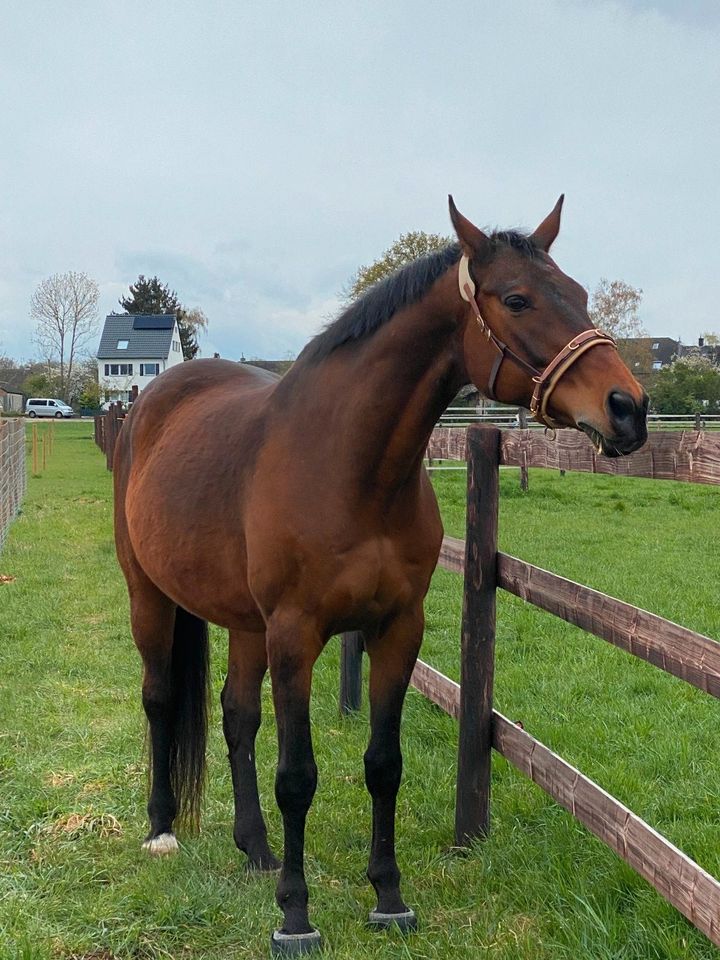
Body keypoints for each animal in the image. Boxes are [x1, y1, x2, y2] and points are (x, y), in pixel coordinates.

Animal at [112, 197, 648, 952]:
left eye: (579, 294)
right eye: (516, 299)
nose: (629, 408)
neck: (348, 466)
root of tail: (147, 403)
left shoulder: (397, 630)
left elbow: (382, 765)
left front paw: (388, 896)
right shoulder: (296, 636)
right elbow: (297, 776)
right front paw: (296, 915)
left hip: (246, 624)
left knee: (237, 716)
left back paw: (256, 848)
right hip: (151, 596)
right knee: (160, 698)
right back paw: (162, 830)